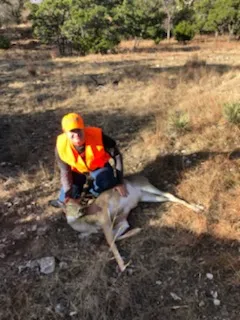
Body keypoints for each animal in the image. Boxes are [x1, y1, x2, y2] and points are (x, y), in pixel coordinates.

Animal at [64, 176, 203, 272]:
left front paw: (123, 266)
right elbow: (116, 238)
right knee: (167, 198)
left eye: (79, 203)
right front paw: (137, 230)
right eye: (67, 207)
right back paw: (198, 207)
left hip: (147, 187)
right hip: (146, 197)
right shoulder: (122, 222)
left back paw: (199, 208)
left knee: (169, 194)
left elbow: (110, 242)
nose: (81, 210)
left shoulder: (105, 220)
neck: (88, 225)